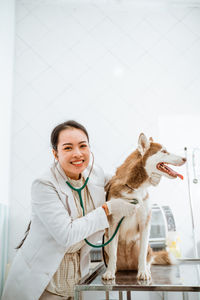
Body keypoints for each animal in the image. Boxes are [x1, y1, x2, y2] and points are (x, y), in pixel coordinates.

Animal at [102, 134, 187, 282]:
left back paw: (145, 268)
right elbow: (113, 254)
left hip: (145, 245)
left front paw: (143, 273)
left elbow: (142, 255)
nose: (185, 159)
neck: (135, 187)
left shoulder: (144, 222)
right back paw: (114, 269)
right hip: (106, 239)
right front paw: (110, 273)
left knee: (147, 257)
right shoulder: (113, 224)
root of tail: (127, 266)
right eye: (164, 151)